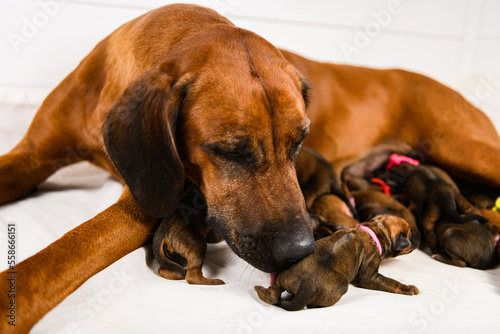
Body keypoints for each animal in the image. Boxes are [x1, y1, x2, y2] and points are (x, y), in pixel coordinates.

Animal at [254, 214, 418, 310]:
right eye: (410, 236)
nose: (418, 240)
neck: (375, 231)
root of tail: (307, 285)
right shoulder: (370, 272)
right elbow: (389, 282)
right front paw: (409, 288)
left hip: (285, 276)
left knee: (274, 293)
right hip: (340, 288)